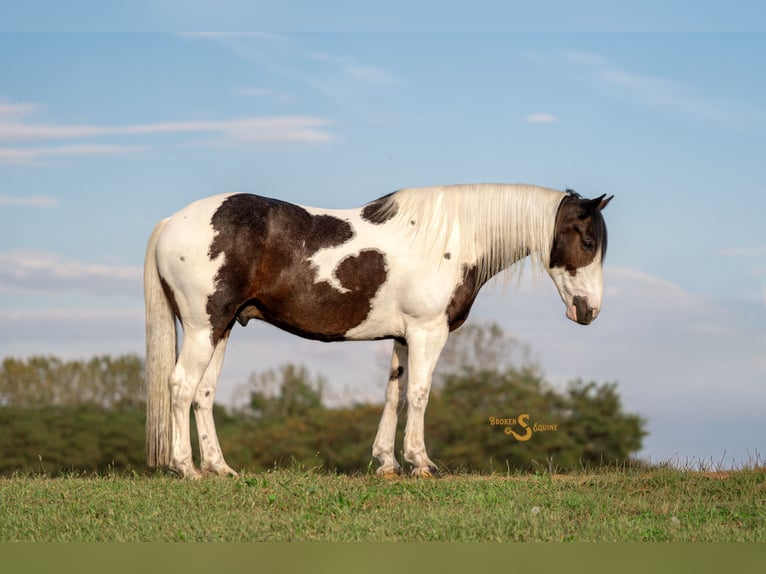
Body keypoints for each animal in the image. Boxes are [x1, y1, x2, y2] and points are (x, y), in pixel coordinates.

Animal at [143, 183, 613, 478]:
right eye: (589, 243)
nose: (588, 311)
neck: (451, 239)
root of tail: (169, 222)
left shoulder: (404, 338)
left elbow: (394, 395)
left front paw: (388, 463)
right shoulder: (428, 332)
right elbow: (420, 394)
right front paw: (421, 462)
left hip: (221, 328)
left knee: (203, 395)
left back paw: (220, 468)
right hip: (204, 327)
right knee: (181, 386)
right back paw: (186, 468)